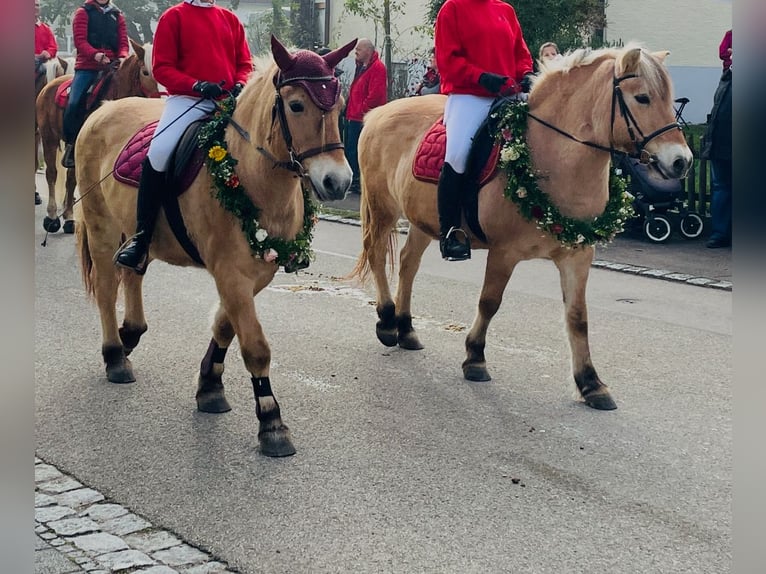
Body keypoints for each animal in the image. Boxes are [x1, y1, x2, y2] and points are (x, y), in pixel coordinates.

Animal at [35, 38, 159, 234]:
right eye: (146, 72)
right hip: (49, 138)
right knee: (52, 174)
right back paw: (52, 218)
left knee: (70, 178)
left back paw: (69, 218)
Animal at [74, 36, 356, 457]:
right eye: (296, 105)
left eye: (339, 106)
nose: (337, 183)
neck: (249, 175)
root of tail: (105, 109)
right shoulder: (231, 273)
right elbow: (255, 345)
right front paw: (271, 422)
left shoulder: (255, 273)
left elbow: (225, 325)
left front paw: (209, 385)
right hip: (101, 226)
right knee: (108, 288)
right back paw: (114, 356)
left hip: (136, 232)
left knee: (134, 271)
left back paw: (130, 334)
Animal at [350, 45, 692, 410]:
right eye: (642, 98)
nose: (681, 162)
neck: (550, 156)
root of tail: (379, 112)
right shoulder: (504, 252)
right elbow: (489, 302)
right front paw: (475, 358)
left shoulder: (577, 256)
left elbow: (578, 317)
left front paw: (591, 383)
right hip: (383, 208)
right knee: (377, 254)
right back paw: (388, 322)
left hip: (424, 222)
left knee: (408, 264)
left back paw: (406, 329)